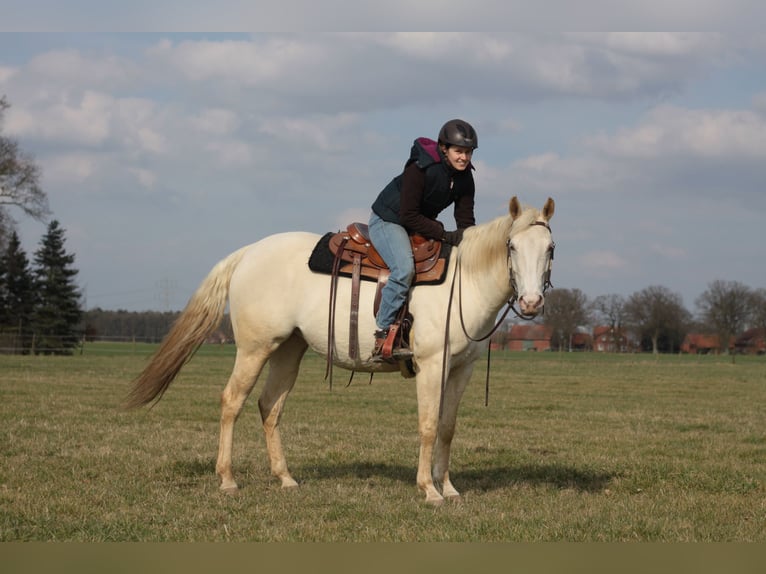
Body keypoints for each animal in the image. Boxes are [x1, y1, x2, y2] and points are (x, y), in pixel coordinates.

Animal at [127, 196, 560, 506]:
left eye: (551, 247)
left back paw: (285, 478)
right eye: (512, 245)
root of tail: (248, 252)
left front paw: (449, 487)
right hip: (254, 348)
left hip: (288, 349)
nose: (532, 302)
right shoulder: (431, 364)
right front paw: (429, 490)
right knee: (233, 401)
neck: (463, 280)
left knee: (270, 406)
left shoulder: (461, 369)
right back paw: (229, 480)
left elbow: (448, 427)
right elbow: (428, 425)